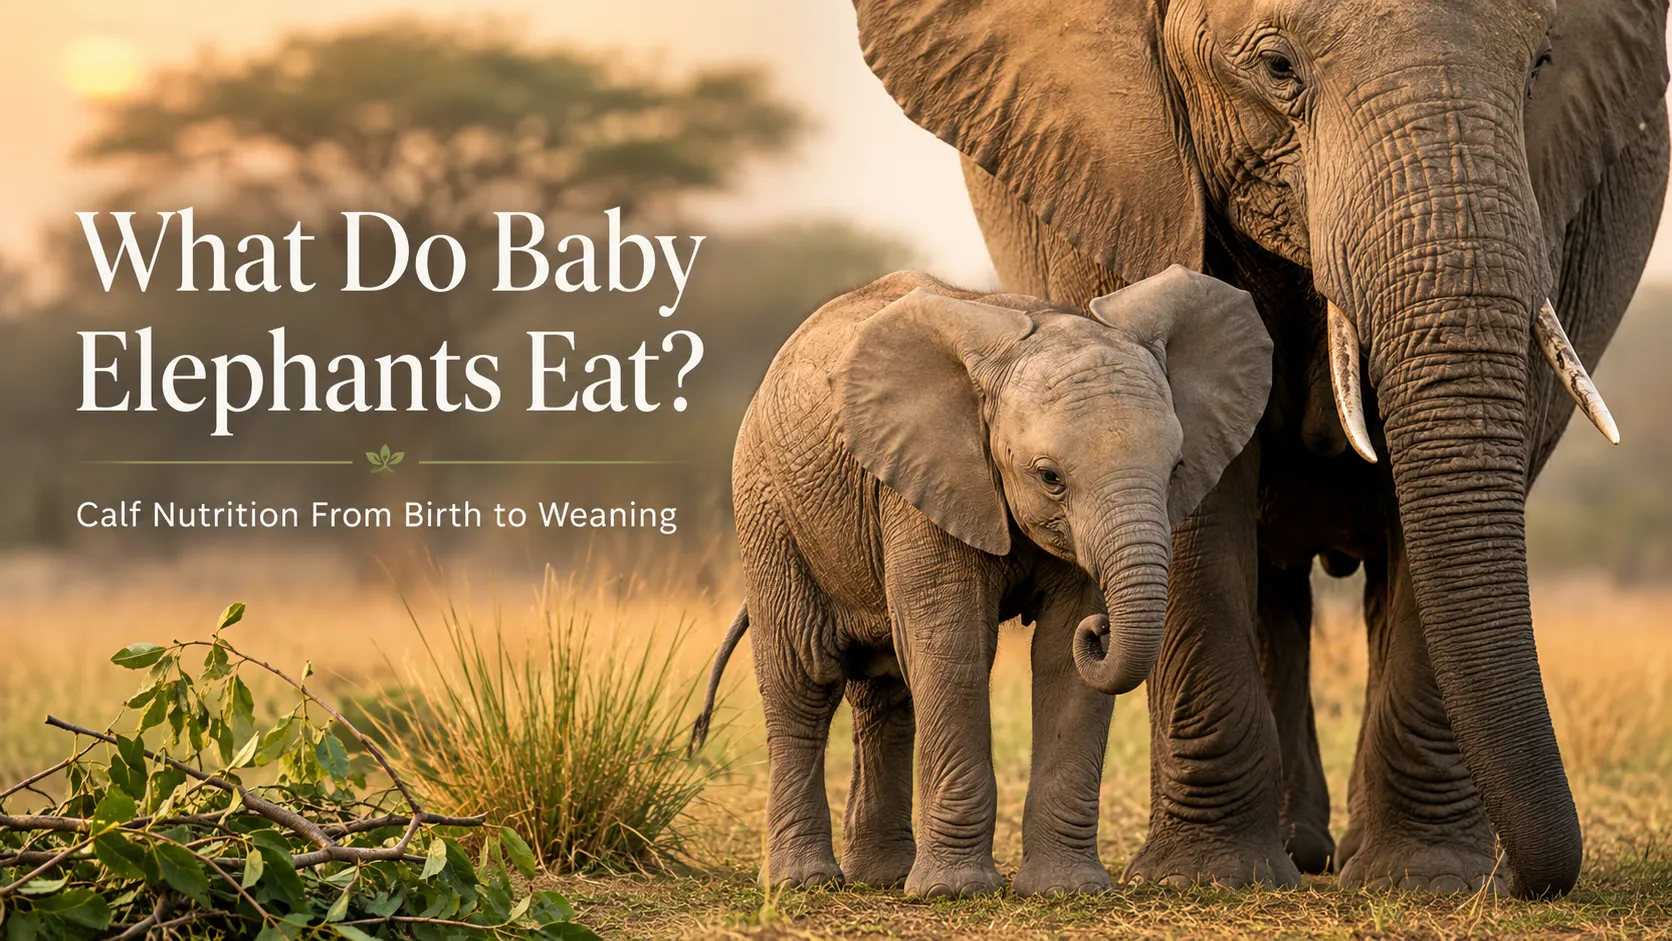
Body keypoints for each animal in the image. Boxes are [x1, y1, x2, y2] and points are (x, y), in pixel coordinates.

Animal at [689, 266, 1272, 897]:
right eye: (1050, 477)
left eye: (1176, 469)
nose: (1103, 629)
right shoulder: (920, 487)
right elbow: (954, 647)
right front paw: (955, 892)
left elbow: (1061, 657)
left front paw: (1065, 890)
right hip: (767, 503)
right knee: (803, 680)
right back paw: (803, 883)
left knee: (885, 690)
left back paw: (883, 877)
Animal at [852, 0, 1668, 897]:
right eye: (1278, 67)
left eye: (1539, 68)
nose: (1525, 879)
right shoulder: (1111, 181)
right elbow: (1197, 492)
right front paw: (1209, 878)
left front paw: (1424, 879)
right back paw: (1299, 851)